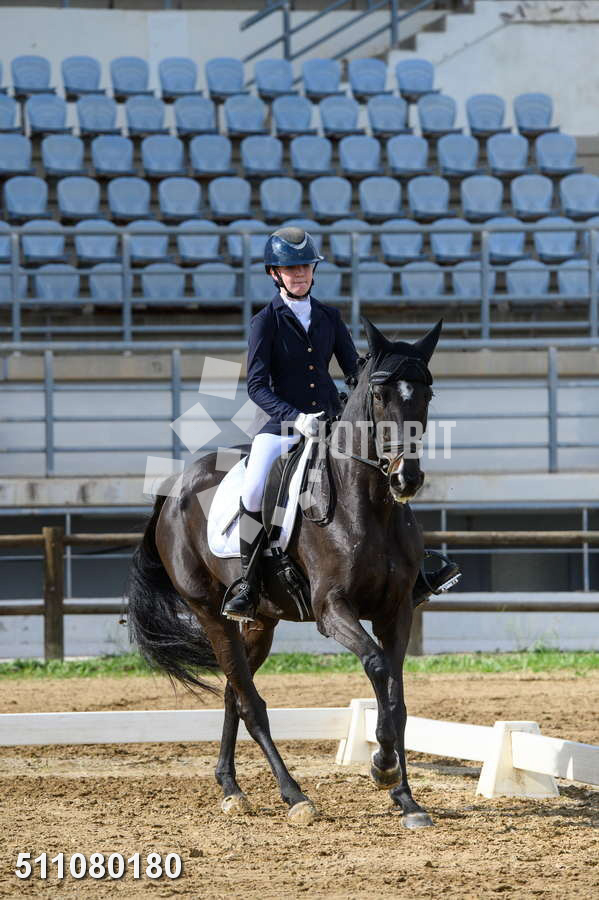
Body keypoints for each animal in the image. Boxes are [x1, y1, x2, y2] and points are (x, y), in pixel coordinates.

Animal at [126, 316, 442, 828]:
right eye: (379, 396)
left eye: (426, 394)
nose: (404, 478)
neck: (368, 505)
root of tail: (174, 490)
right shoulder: (332, 610)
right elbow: (376, 666)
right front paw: (382, 767)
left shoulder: (396, 610)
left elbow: (396, 697)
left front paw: (406, 798)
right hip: (211, 613)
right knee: (250, 702)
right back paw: (294, 796)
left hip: (260, 621)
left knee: (233, 692)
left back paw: (232, 788)